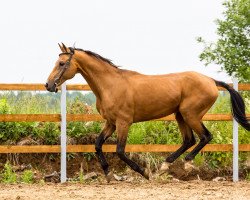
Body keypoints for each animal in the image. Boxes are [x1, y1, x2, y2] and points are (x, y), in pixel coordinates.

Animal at [45, 42, 250, 181]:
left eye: (62, 63)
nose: (48, 85)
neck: (111, 85)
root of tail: (211, 81)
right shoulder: (111, 123)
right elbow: (97, 145)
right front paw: (108, 174)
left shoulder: (124, 122)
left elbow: (120, 151)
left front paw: (144, 172)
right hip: (180, 115)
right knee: (189, 139)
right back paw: (165, 165)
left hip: (190, 114)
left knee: (205, 136)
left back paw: (186, 162)